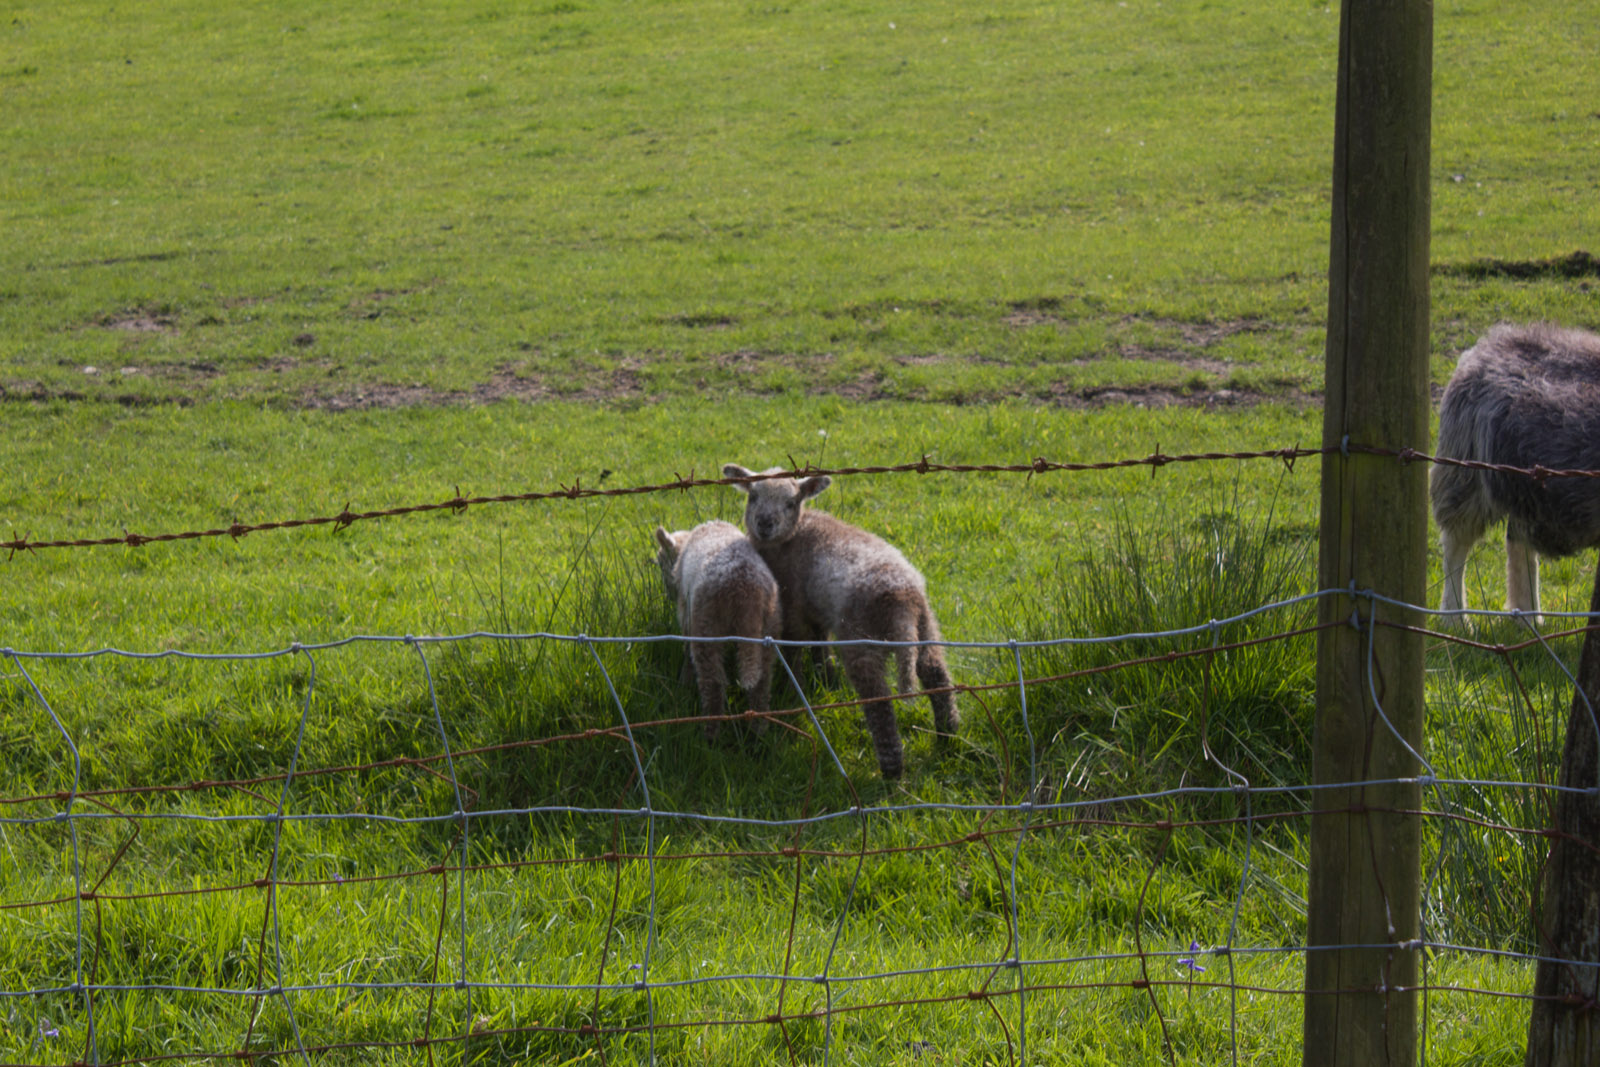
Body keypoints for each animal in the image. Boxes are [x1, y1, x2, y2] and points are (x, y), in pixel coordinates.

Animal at [653, 520, 781, 740]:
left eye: (662, 563)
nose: (668, 593)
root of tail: (747, 592)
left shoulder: (687, 614)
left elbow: (687, 651)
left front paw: (684, 681)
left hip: (706, 624)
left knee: (712, 682)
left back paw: (710, 733)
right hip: (768, 629)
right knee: (762, 682)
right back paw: (758, 731)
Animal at [722, 464, 959, 779]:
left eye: (791, 502)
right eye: (753, 496)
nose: (764, 523)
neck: (793, 535)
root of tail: (902, 601)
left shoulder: (793, 605)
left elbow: (795, 648)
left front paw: (795, 686)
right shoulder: (816, 609)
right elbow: (819, 641)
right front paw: (825, 675)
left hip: (862, 638)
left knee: (879, 702)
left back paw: (892, 771)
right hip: (926, 626)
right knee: (935, 674)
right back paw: (948, 737)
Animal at [1431, 322, 1600, 624]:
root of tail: (1488, 344)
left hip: (1526, 492)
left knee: (1518, 544)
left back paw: (1527, 618)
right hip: (1465, 472)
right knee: (1456, 545)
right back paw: (1456, 618)